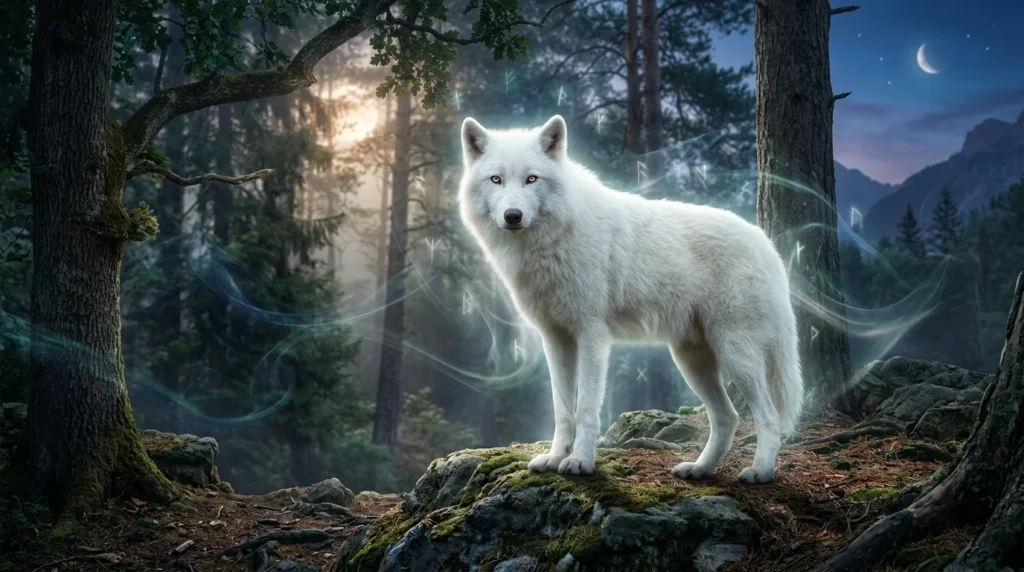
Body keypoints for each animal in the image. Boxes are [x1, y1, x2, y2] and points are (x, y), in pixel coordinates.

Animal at [457, 115, 802, 484]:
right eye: (496, 179)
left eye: (531, 179)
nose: (513, 215)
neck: (551, 241)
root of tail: (767, 244)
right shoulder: (556, 339)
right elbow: (562, 409)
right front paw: (554, 458)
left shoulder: (592, 335)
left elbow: (586, 408)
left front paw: (580, 462)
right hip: (692, 360)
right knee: (728, 418)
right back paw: (699, 468)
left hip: (735, 354)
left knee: (768, 417)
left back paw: (760, 472)